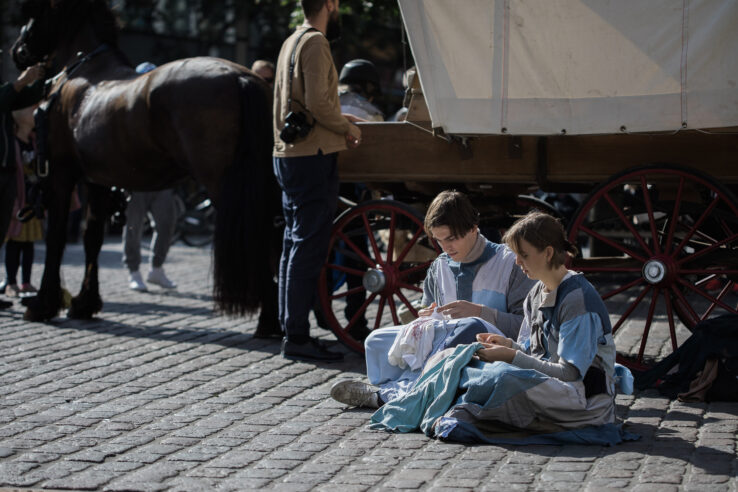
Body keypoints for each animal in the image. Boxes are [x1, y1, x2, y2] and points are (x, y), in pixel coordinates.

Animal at [11, 0, 282, 334]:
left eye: (35, 12)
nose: (18, 50)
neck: (84, 72)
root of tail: (241, 79)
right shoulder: (97, 180)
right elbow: (92, 238)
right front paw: (85, 303)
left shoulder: (62, 175)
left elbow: (57, 238)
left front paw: (43, 303)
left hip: (226, 187)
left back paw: (270, 321)